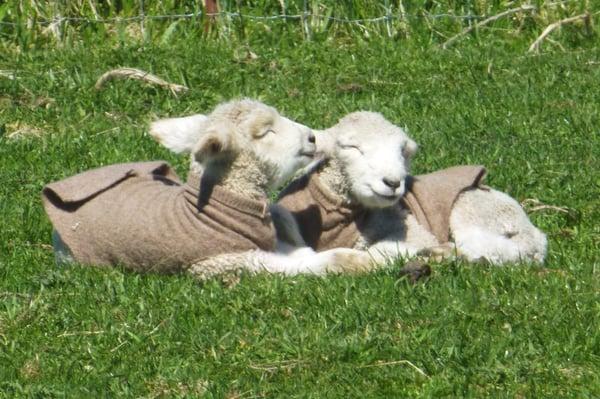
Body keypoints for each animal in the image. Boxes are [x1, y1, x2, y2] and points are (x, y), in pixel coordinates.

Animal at [276, 111, 548, 266]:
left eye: (402, 151)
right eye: (351, 147)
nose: (394, 183)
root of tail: (535, 235)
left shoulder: (409, 228)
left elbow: (382, 251)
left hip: (473, 211)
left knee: (493, 249)